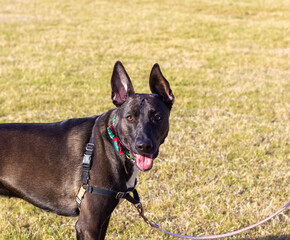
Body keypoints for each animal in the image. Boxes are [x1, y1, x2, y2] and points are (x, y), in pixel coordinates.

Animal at [0, 61, 174, 239]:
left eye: (157, 117)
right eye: (130, 117)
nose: (144, 146)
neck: (113, 142)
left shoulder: (102, 221)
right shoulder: (88, 225)